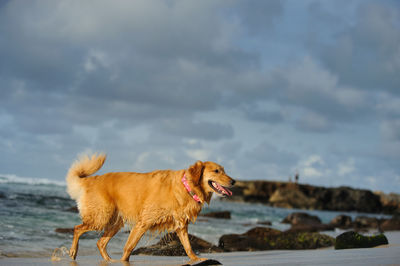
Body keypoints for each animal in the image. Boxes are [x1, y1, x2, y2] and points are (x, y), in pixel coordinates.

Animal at [65, 154, 234, 262]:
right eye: (216, 171)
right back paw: (73, 252)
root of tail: (91, 180)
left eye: (224, 170)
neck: (187, 187)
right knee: (77, 228)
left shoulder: (181, 225)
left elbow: (188, 247)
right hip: (101, 217)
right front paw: (124, 261)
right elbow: (129, 247)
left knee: (100, 242)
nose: (233, 181)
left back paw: (109, 261)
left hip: (115, 222)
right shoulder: (144, 222)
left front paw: (196, 259)